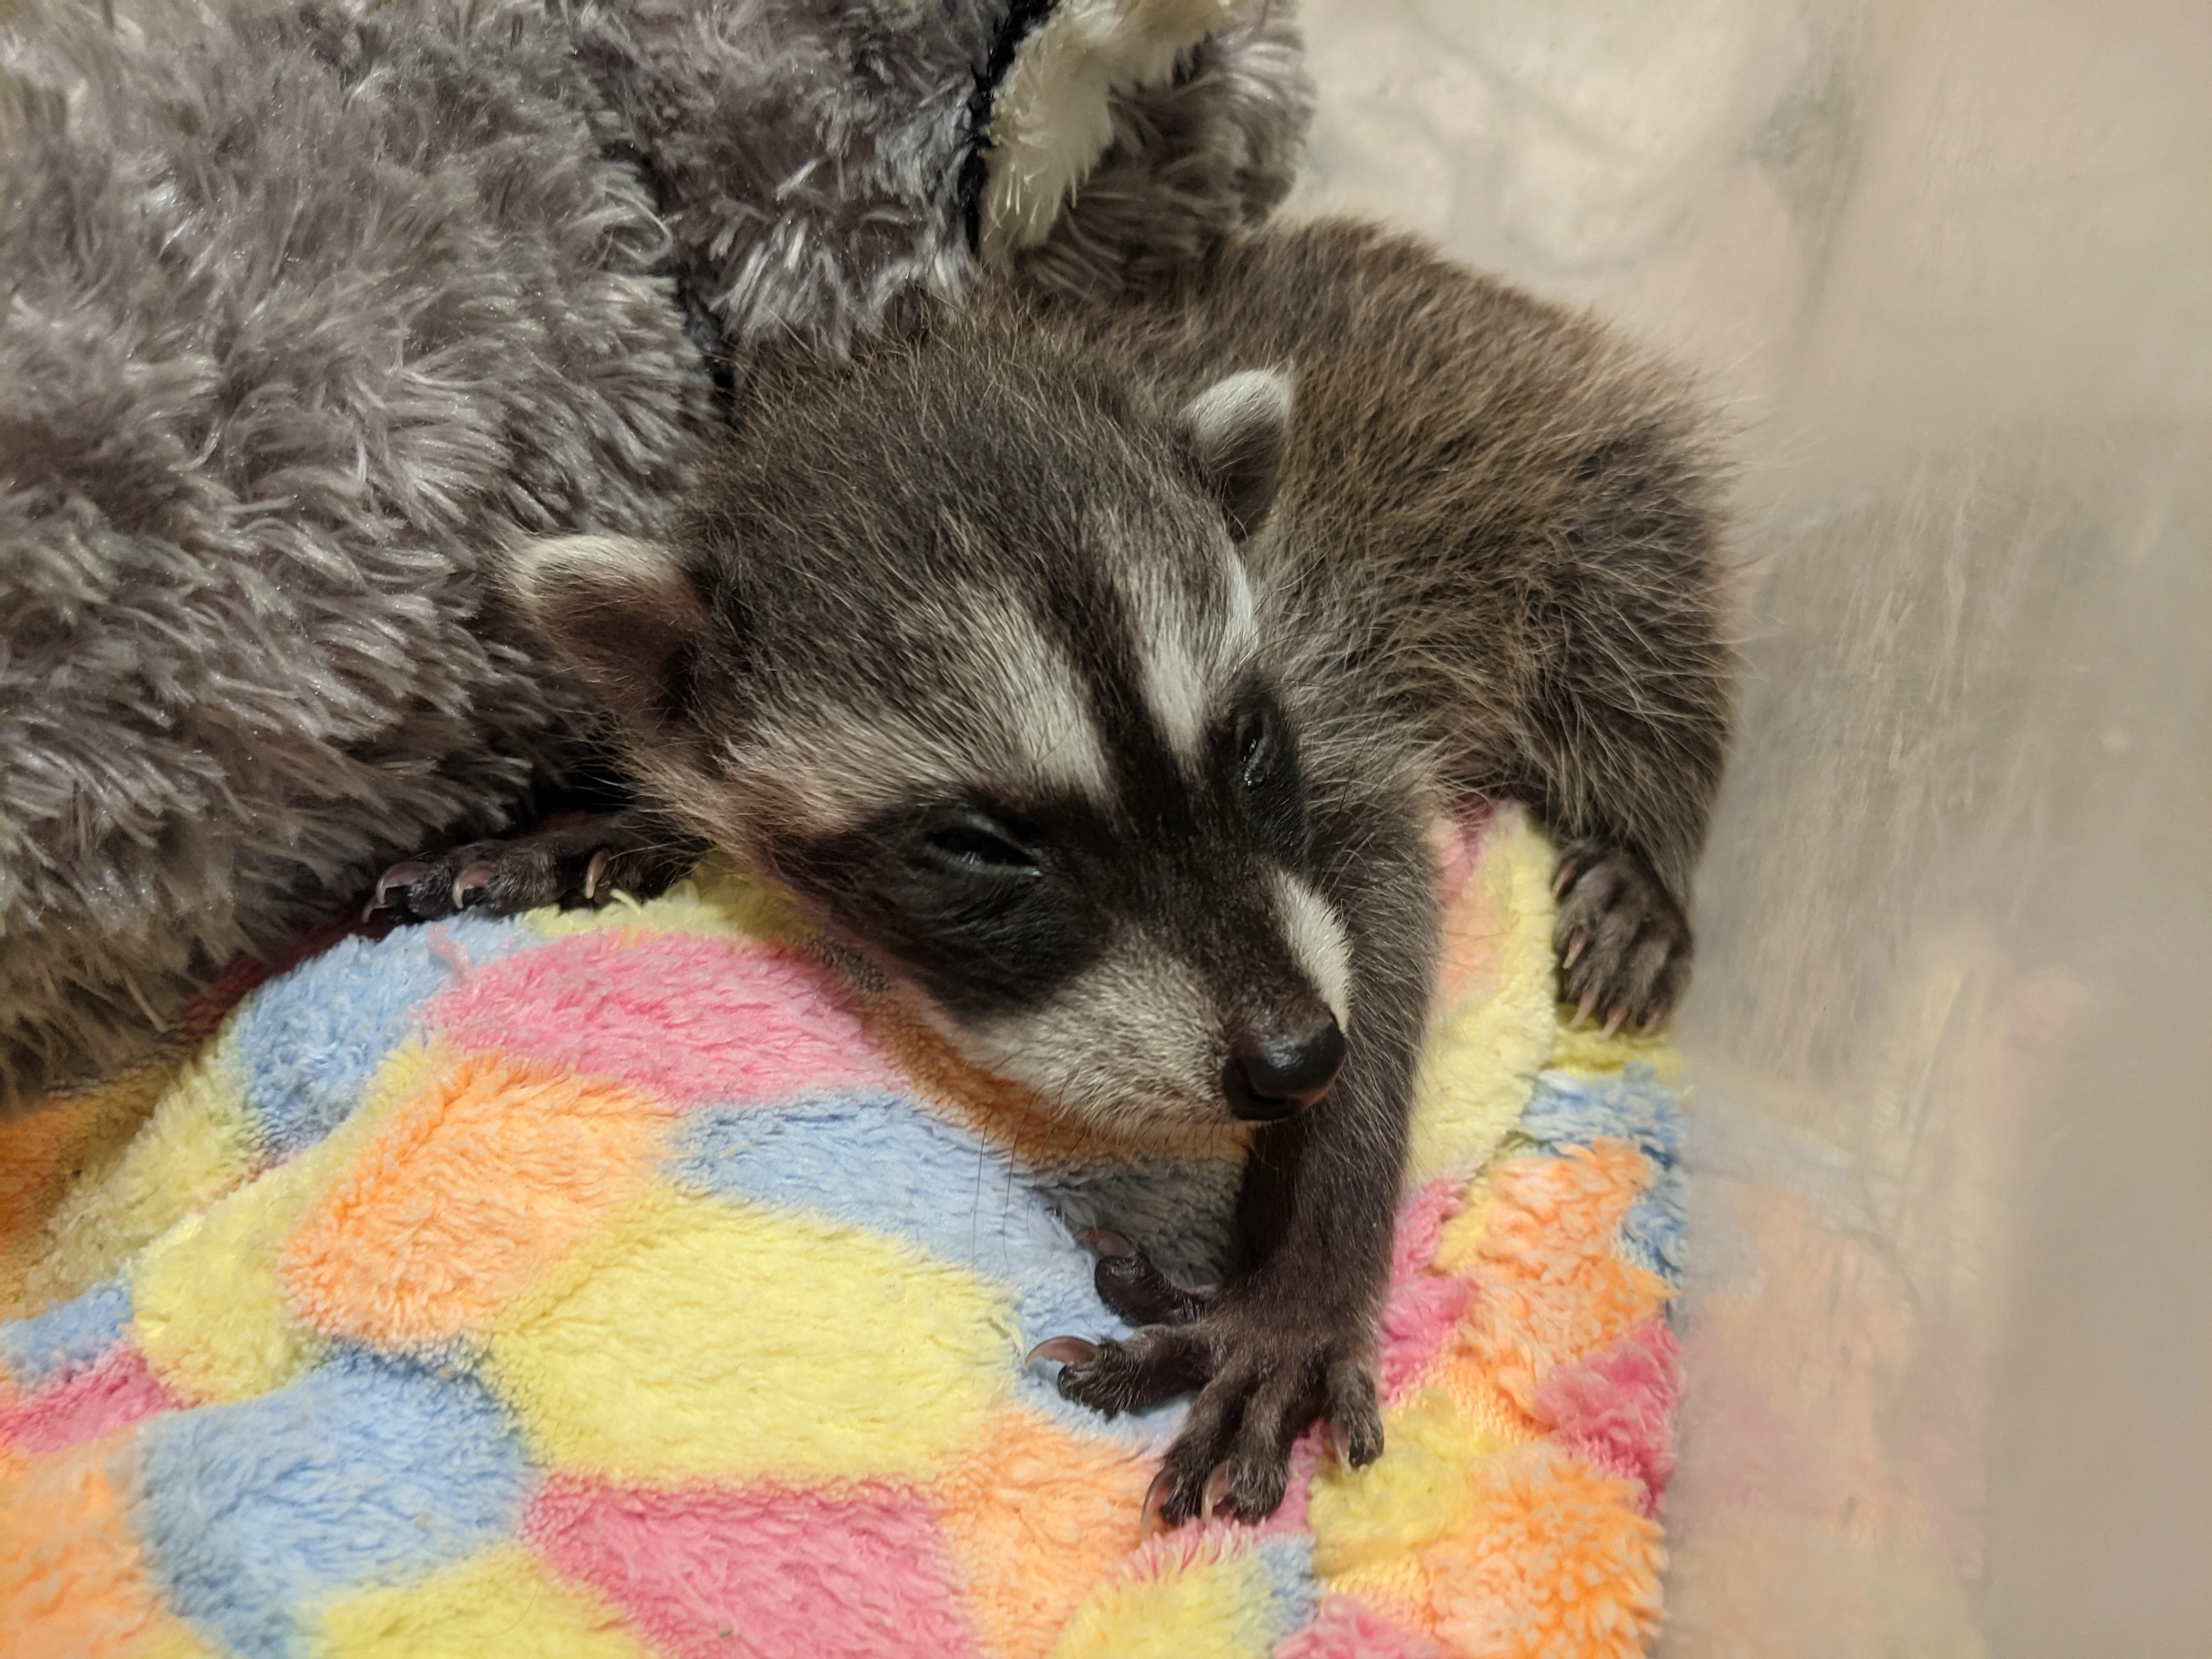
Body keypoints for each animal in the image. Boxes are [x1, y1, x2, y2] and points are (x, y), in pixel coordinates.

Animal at [378, 218, 1733, 1524]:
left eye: (1247, 742)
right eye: (982, 847)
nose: (1294, 1057)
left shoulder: (1332, 680)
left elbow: (1382, 922)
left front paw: (1308, 1251)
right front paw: (610, 814)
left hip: (1591, 471)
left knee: (1635, 610)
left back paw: (1646, 853)